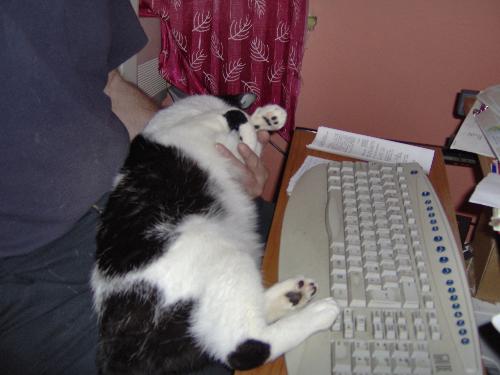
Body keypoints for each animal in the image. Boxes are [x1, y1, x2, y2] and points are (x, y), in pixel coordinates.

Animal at [92, 94, 340, 374]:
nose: (238, 115)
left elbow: (250, 142)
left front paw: (266, 118)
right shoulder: (202, 130)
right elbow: (232, 132)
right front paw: (254, 120)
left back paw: (293, 295)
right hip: (227, 260)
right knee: (244, 346)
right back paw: (319, 312)